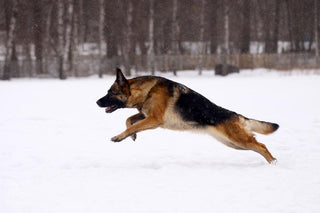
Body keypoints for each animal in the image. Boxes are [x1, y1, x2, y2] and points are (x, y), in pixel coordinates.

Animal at [96, 68, 278, 163]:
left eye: (111, 93)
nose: (97, 102)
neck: (147, 91)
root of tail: (237, 115)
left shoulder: (154, 120)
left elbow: (131, 124)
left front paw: (120, 136)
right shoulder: (145, 115)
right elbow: (129, 120)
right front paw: (132, 135)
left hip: (238, 140)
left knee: (261, 146)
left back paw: (273, 163)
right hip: (233, 144)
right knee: (258, 146)